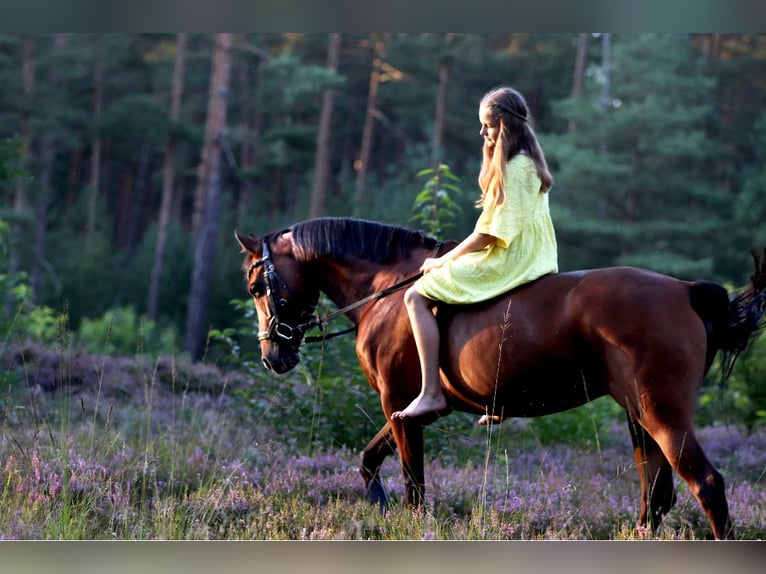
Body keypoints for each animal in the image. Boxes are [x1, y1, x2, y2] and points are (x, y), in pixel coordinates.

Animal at [237, 218, 764, 544]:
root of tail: (684, 290)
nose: (273, 355)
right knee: (656, 494)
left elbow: (414, 487)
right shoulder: (408, 410)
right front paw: (380, 511)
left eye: (257, 286)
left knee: (706, 485)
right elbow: (369, 461)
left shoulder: (401, 408)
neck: (385, 289)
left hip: (662, 414)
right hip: (640, 415)